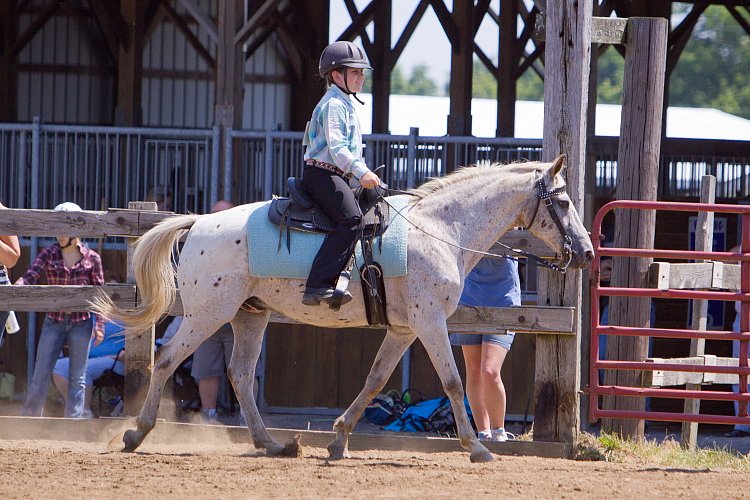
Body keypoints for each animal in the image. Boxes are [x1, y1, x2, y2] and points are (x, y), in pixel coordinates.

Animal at [94, 154, 596, 462]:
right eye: (564, 201)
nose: (588, 253)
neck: (440, 229)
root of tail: (200, 222)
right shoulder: (430, 322)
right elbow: (454, 382)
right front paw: (478, 449)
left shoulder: (404, 329)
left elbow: (374, 380)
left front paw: (338, 439)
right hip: (206, 314)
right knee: (168, 359)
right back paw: (136, 433)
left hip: (249, 315)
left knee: (238, 373)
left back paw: (271, 444)